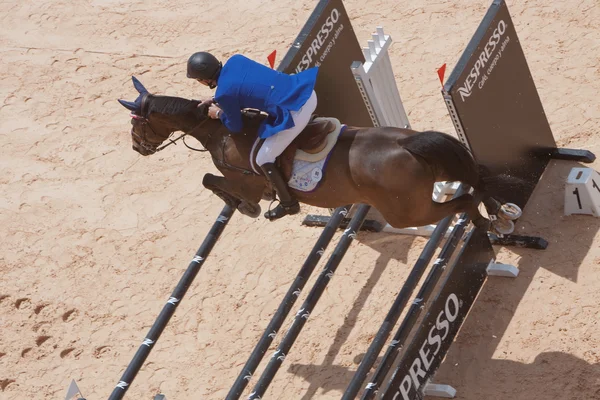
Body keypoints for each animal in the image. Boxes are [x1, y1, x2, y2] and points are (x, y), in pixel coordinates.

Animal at [118, 76, 524, 234]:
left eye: (136, 125)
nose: (138, 148)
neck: (218, 131)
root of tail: (405, 144)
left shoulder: (248, 180)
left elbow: (211, 180)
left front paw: (248, 208)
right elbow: (208, 179)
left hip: (405, 212)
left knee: (462, 200)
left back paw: (489, 222)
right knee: (472, 184)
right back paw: (498, 217)